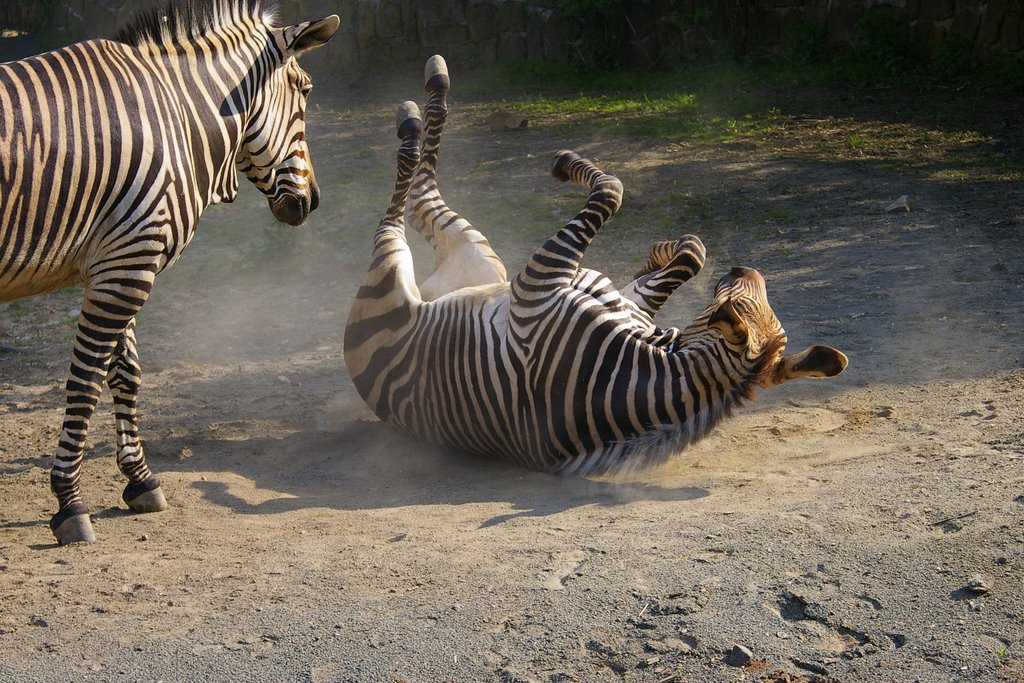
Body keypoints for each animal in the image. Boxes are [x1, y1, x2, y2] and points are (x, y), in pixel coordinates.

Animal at [1, 1, 344, 544]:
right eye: (305, 90)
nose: (312, 202)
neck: (177, 111)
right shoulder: (128, 263)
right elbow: (85, 384)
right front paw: (69, 503)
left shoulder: (115, 258)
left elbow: (125, 372)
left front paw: (140, 480)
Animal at [344, 56, 847, 479]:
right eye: (750, 298)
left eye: (735, 303)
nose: (746, 269)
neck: (632, 365)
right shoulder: (614, 295)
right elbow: (689, 254)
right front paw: (663, 250)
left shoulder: (537, 284)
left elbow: (613, 191)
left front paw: (568, 164)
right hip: (482, 263)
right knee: (422, 189)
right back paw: (433, 86)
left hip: (401, 265)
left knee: (409, 197)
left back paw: (414, 112)